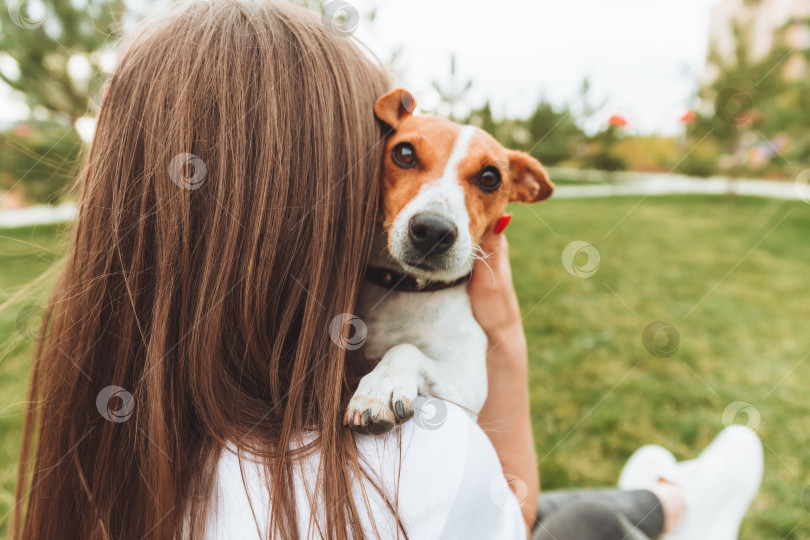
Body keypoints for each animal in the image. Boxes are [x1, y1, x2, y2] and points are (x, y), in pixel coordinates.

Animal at [344, 88, 552, 434]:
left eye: (490, 177)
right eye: (404, 153)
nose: (432, 231)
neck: (405, 289)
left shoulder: (468, 383)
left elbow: (406, 348)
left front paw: (380, 387)